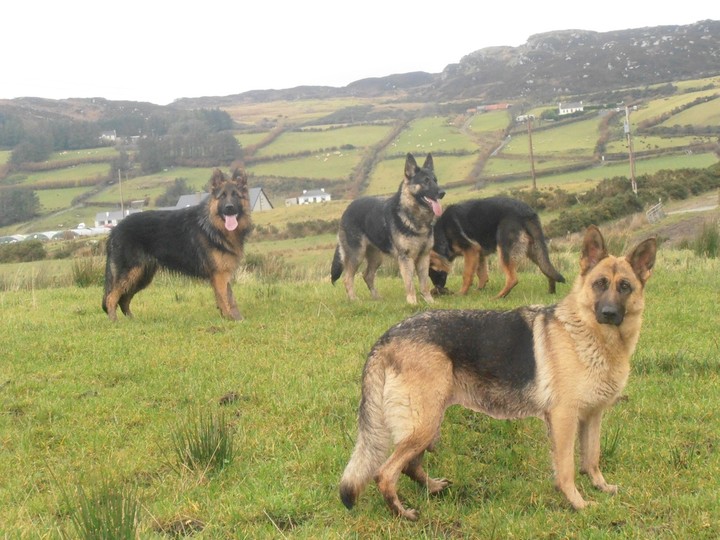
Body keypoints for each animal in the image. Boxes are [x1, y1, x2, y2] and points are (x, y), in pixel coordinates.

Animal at [102, 169, 252, 320]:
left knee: (124, 299)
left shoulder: (223, 273)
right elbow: (225, 298)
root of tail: (114, 230)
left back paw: (132, 320)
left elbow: (230, 299)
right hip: (130, 273)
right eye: (222, 196)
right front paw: (230, 318)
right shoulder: (219, 275)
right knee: (111, 298)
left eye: (236, 195)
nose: (229, 208)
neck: (213, 226)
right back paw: (114, 321)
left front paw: (235, 319)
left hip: (141, 276)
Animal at [332, 153, 444, 304]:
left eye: (435, 180)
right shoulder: (406, 259)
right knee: (347, 278)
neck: (414, 215)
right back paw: (354, 300)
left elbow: (424, 283)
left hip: (376, 257)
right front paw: (413, 303)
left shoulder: (424, 257)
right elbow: (410, 283)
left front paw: (430, 301)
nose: (442, 192)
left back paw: (377, 298)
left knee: (367, 275)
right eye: (426, 181)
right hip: (357, 255)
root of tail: (348, 208)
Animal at [340, 226, 656, 520]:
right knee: (385, 473)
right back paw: (402, 514)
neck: (589, 336)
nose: (609, 314)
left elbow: (592, 458)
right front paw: (578, 503)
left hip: (428, 424)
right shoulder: (564, 418)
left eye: (625, 286)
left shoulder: (592, 416)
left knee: (408, 465)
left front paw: (600, 487)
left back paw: (433, 489)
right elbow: (566, 468)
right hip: (424, 424)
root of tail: (387, 337)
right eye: (599, 284)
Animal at [430, 197, 564, 300]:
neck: (442, 234)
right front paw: (478, 291)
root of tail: (526, 212)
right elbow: (482, 275)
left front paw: (461, 293)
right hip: (534, 251)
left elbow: (467, 274)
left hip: (504, 251)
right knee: (547, 268)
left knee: (513, 279)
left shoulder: (470, 250)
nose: (438, 289)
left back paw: (498, 297)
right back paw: (551, 292)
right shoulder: (479, 254)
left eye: (433, 272)